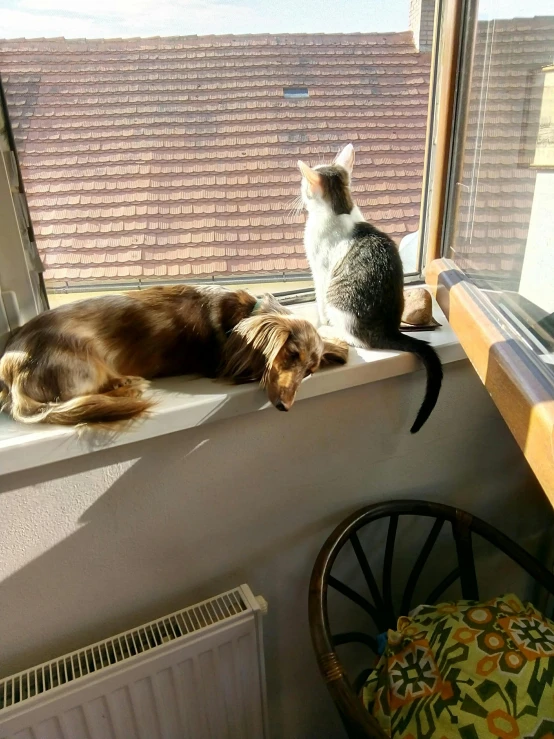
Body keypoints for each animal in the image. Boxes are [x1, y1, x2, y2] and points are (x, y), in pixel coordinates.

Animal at [0, 288, 344, 430]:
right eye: (291, 353)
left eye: (310, 371)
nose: (285, 406)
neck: (245, 313)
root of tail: (13, 371)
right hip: (85, 361)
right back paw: (126, 384)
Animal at [296, 143, 442, 434]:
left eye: (305, 186)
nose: (299, 192)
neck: (339, 210)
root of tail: (389, 329)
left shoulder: (320, 271)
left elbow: (318, 302)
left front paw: (319, 323)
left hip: (339, 300)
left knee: (357, 338)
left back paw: (332, 330)